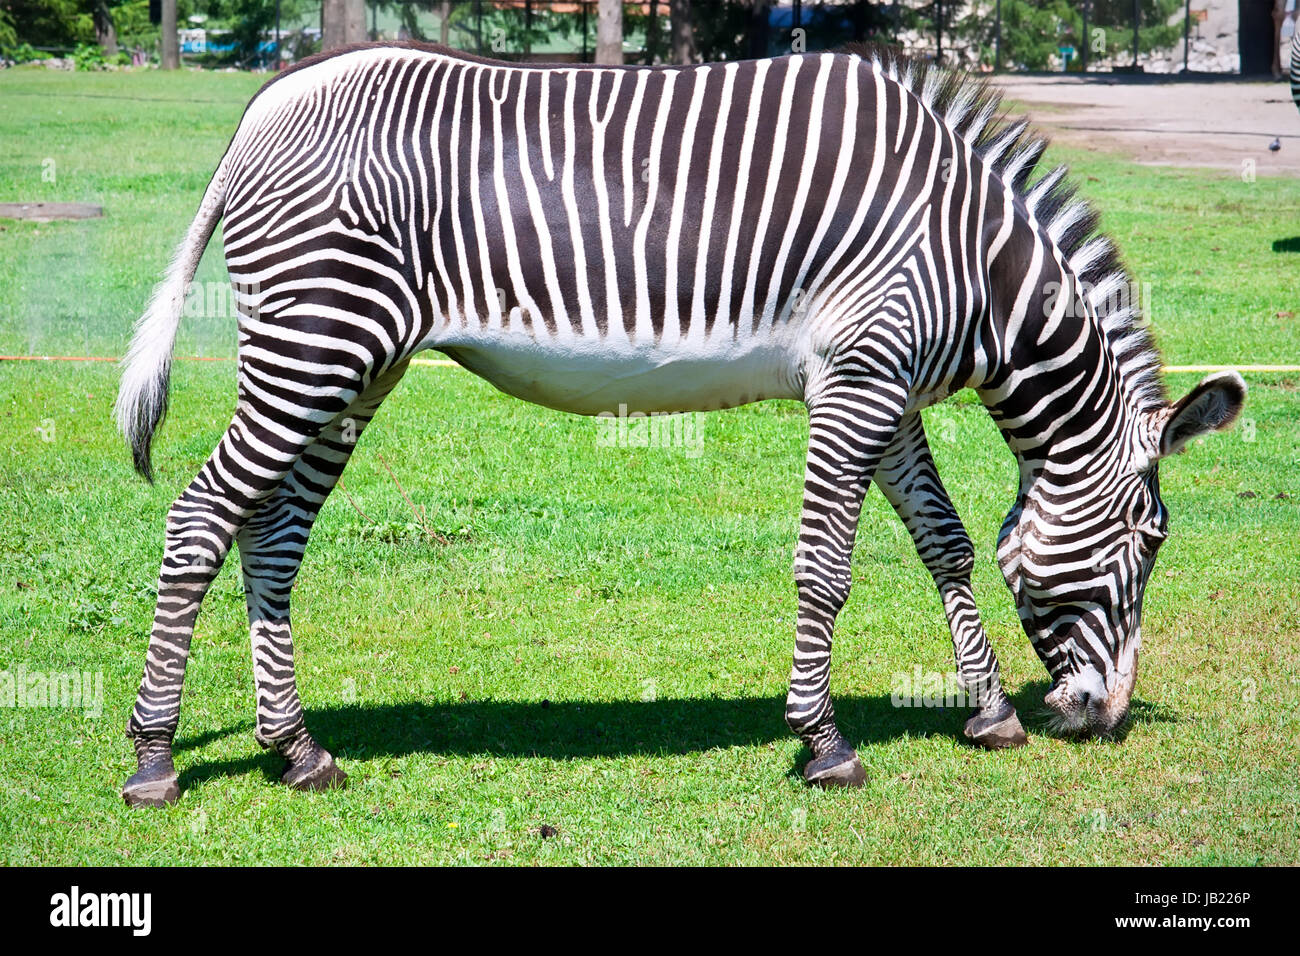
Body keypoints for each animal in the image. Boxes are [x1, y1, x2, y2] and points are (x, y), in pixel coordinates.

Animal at [116, 43, 1245, 806]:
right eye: (1152, 540)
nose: (1103, 718)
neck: (974, 265)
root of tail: (268, 100)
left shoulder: (886, 389)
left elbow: (947, 542)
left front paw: (990, 711)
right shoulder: (857, 381)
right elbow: (825, 568)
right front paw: (825, 741)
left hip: (357, 363)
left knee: (271, 536)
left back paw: (298, 749)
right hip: (318, 338)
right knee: (201, 517)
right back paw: (155, 757)